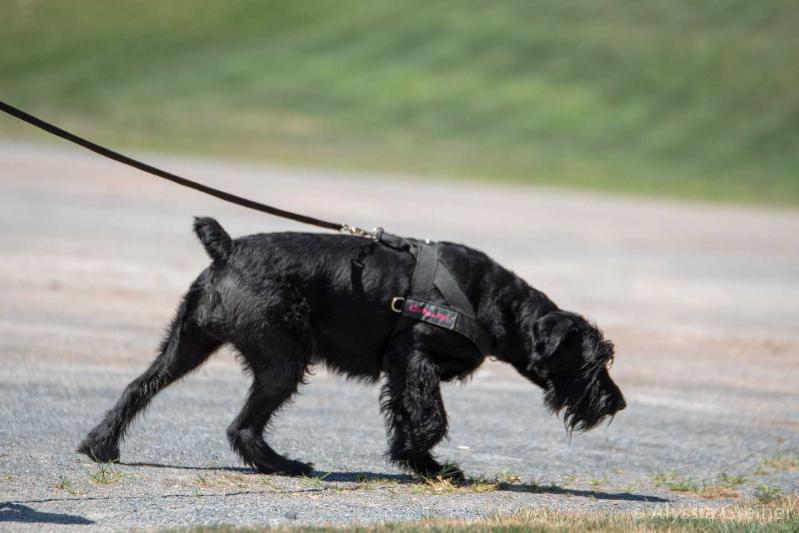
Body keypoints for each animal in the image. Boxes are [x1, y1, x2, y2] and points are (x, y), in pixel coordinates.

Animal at [83, 216, 632, 478]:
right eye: (593, 363)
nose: (618, 402)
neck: (496, 302)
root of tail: (228, 250)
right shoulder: (413, 357)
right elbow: (431, 417)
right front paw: (418, 455)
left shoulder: (402, 369)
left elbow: (409, 411)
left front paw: (424, 466)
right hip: (282, 361)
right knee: (241, 425)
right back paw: (284, 465)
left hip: (188, 344)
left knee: (140, 386)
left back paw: (100, 444)